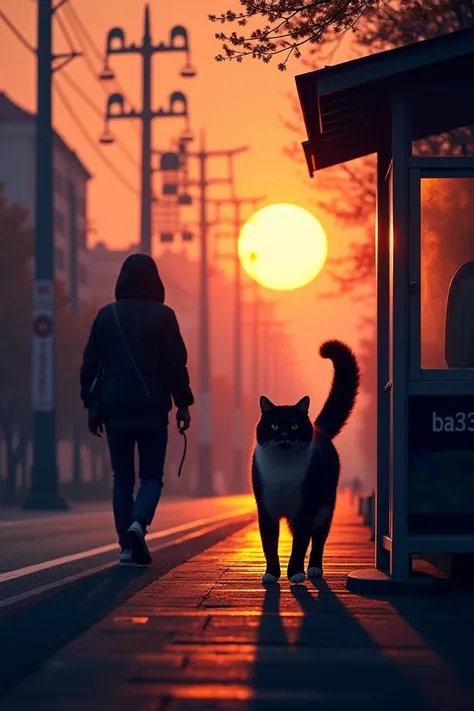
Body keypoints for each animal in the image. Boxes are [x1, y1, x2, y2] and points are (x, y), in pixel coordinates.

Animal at [252, 340, 360, 584]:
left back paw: (314, 569)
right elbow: (269, 543)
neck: (283, 469)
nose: (284, 435)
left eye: (294, 425)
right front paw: (271, 573)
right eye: (274, 425)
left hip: (325, 506)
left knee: (318, 538)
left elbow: (300, 542)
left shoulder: (306, 507)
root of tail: (320, 430)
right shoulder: (266, 506)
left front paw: (295, 573)